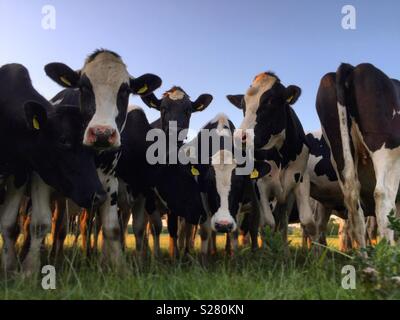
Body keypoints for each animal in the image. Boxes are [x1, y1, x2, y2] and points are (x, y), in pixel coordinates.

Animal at [0, 63, 106, 274]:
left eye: (91, 148)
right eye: (63, 140)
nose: (98, 196)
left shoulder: (19, 174)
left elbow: (9, 223)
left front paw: (9, 267)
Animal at [45, 49, 161, 264]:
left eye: (125, 91)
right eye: (83, 87)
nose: (102, 133)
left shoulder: (110, 184)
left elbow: (112, 229)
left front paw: (117, 266)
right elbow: (60, 227)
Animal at [228, 72, 316, 242]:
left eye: (270, 101)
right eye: (243, 105)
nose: (240, 138)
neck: (283, 156)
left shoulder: (301, 178)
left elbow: (307, 220)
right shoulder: (261, 185)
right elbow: (267, 224)